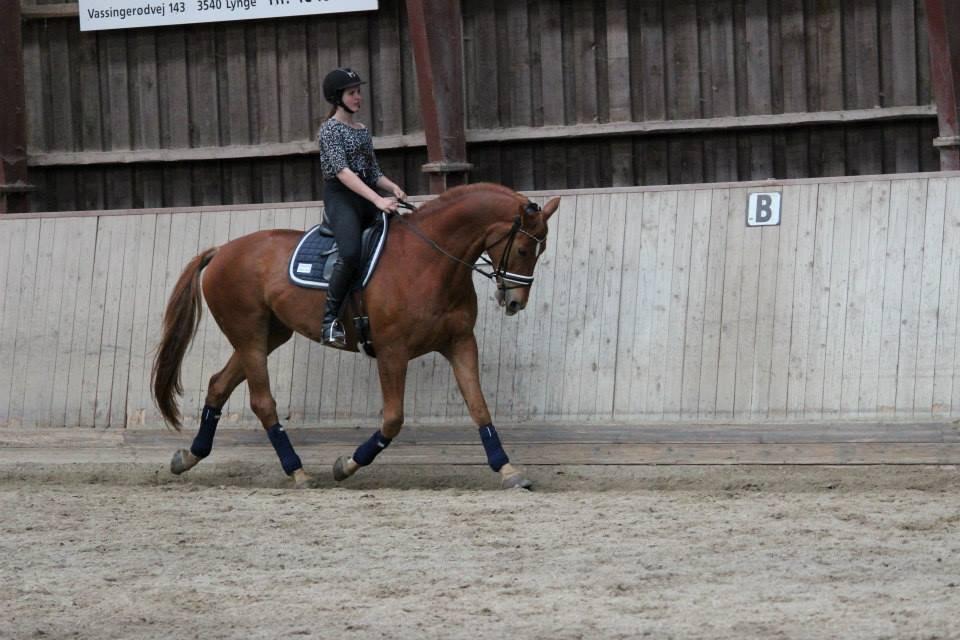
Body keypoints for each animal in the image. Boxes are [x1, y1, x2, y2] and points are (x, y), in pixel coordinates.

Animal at [148, 184, 556, 490]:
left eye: (541, 251)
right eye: (523, 248)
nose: (515, 302)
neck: (429, 262)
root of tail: (222, 251)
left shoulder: (460, 344)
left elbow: (479, 407)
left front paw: (508, 469)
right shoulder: (392, 352)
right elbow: (392, 420)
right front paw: (346, 465)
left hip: (268, 335)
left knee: (218, 385)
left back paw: (188, 457)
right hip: (248, 335)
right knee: (262, 402)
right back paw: (297, 471)